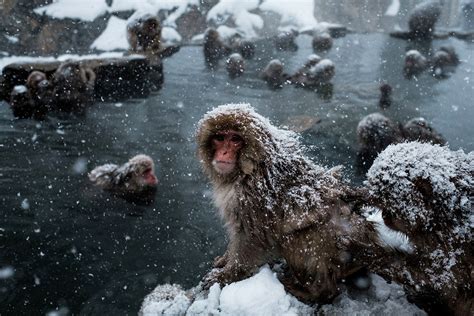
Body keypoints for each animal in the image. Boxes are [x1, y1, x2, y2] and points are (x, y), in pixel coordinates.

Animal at [194, 103, 380, 304]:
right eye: (220, 138)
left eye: (235, 139)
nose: (224, 152)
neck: (250, 168)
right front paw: (225, 259)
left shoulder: (253, 195)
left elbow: (251, 237)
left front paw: (227, 274)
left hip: (340, 247)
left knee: (299, 234)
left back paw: (317, 291)